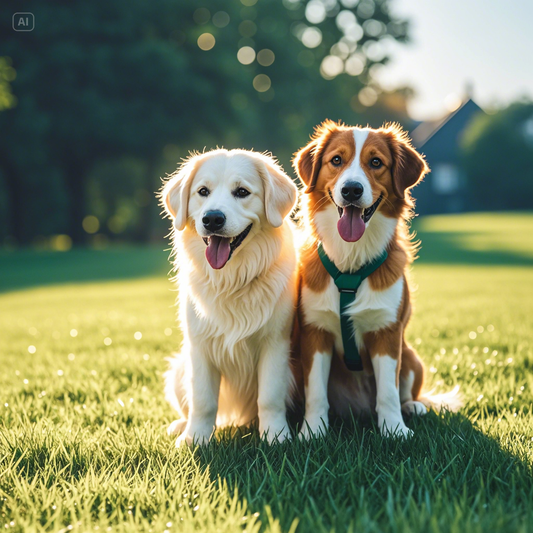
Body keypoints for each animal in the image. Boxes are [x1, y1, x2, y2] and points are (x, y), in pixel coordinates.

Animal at [160, 148, 298, 442]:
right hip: (179, 369)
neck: (233, 280)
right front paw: (195, 439)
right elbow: (202, 400)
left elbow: (269, 396)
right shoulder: (199, 346)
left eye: (242, 192)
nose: (212, 218)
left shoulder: (275, 342)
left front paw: (275, 436)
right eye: (203, 191)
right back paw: (181, 425)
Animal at [290, 122, 458, 438]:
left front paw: (394, 430)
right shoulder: (315, 332)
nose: (351, 190)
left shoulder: (387, 333)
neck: (351, 263)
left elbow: (388, 391)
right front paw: (312, 432)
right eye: (336, 160)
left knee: (405, 391)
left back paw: (413, 407)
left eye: (376, 162)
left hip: (412, 357)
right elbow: (315, 390)